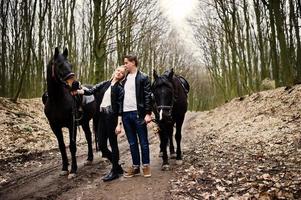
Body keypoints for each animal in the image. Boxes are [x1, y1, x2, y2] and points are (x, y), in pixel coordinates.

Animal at [42, 48, 95, 178]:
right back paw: (89, 158)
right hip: (85, 122)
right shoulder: (55, 127)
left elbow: (72, 146)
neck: (57, 100)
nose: (75, 84)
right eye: (60, 65)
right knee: (88, 136)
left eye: (70, 65)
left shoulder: (72, 124)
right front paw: (64, 168)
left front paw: (73, 170)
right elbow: (61, 146)